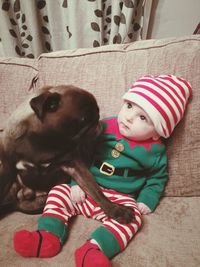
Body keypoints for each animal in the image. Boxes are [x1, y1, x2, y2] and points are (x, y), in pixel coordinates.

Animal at [0, 85, 134, 224]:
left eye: (97, 114)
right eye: (83, 120)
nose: (98, 124)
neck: (43, 141)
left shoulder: (74, 165)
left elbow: (94, 189)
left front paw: (115, 209)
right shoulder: (7, 169)